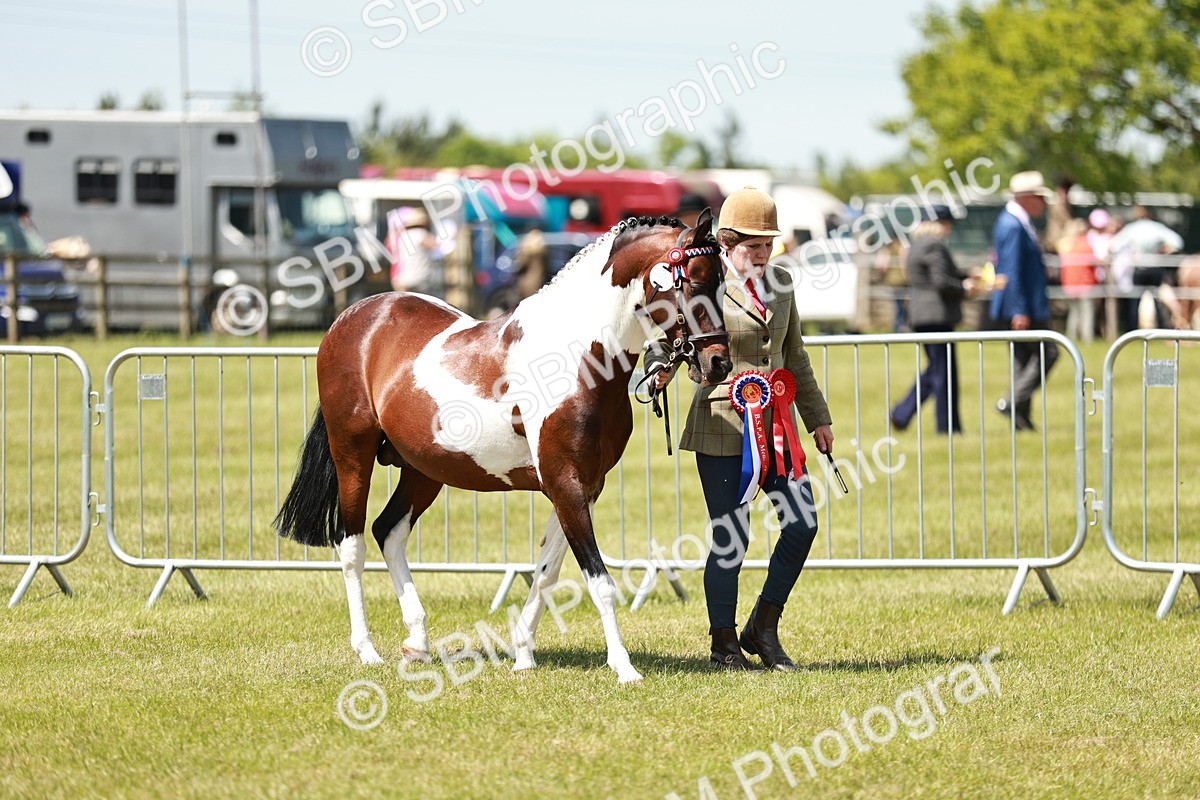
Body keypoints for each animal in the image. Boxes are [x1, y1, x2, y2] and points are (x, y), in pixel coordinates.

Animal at [275, 210, 731, 683]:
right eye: (694, 281)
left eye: (723, 283)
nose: (719, 363)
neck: (577, 356)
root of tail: (353, 316)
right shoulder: (565, 482)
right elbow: (599, 581)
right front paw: (624, 668)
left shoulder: (583, 486)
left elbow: (547, 572)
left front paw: (523, 654)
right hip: (353, 455)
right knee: (352, 545)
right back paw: (366, 650)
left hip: (424, 469)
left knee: (390, 531)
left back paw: (417, 644)